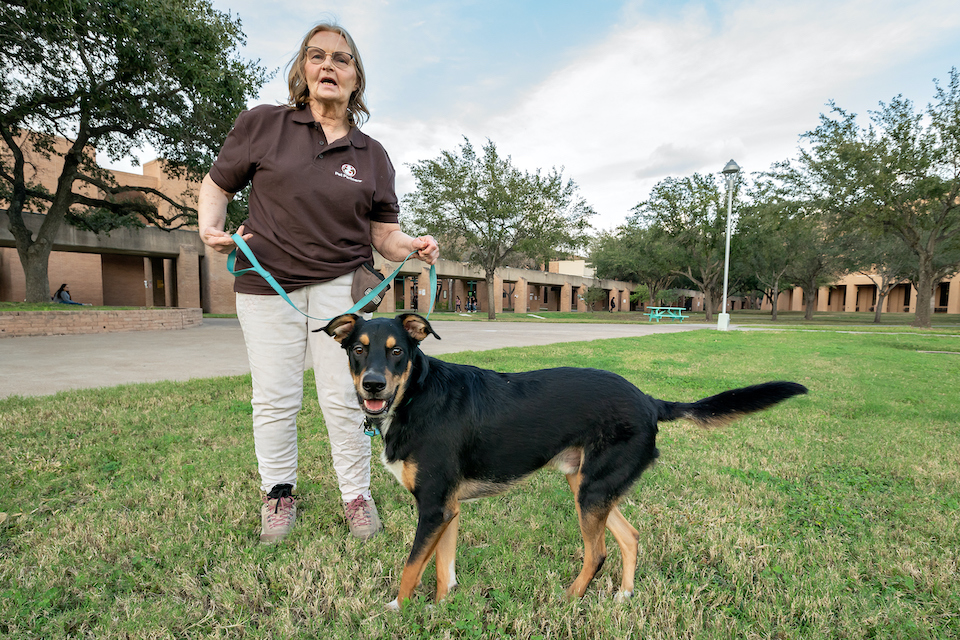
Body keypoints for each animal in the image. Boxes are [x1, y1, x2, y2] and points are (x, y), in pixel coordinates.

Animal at [318, 312, 808, 608]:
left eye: (397, 350)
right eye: (358, 349)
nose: (373, 385)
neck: (415, 396)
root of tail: (650, 402)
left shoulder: (435, 507)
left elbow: (410, 568)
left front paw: (397, 610)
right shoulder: (448, 508)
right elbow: (442, 568)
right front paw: (442, 607)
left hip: (591, 491)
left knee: (599, 552)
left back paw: (571, 598)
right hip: (588, 486)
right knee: (630, 537)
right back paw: (623, 598)